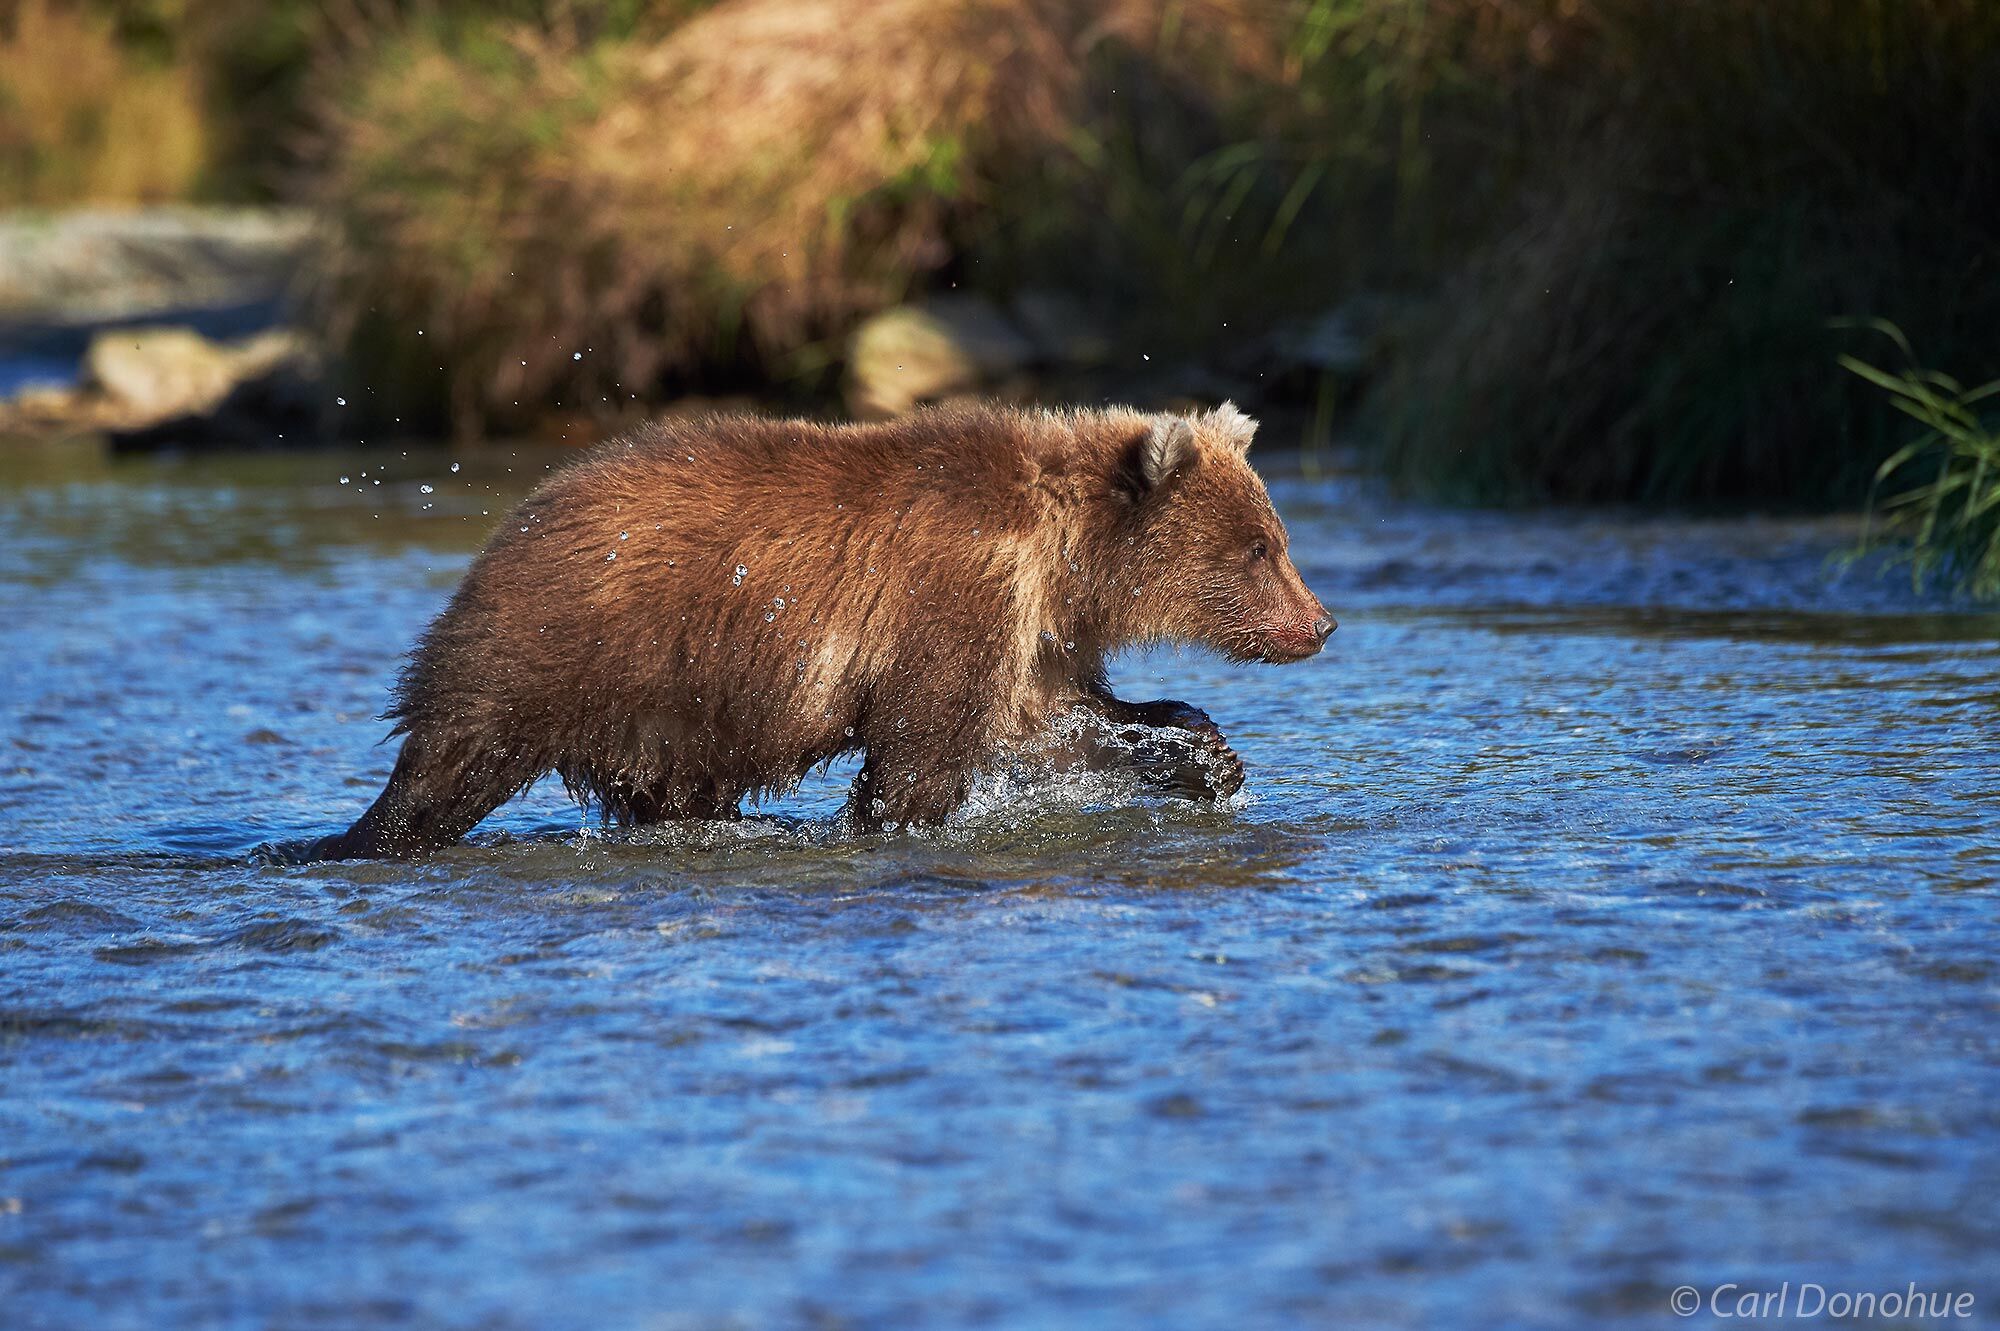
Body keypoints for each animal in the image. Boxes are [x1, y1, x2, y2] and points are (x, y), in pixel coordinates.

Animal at [296, 399, 1328, 855]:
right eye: (1261, 548)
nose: (1319, 624)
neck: (1065, 555)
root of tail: (514, 522)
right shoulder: (956, 592)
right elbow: (925, 752)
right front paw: (887, 819)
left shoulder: (1033, 628)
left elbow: (1058, 721)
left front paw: (1206, 754)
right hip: (572, 646)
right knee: (452, 762)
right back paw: (367, 834)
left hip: (672, 714)